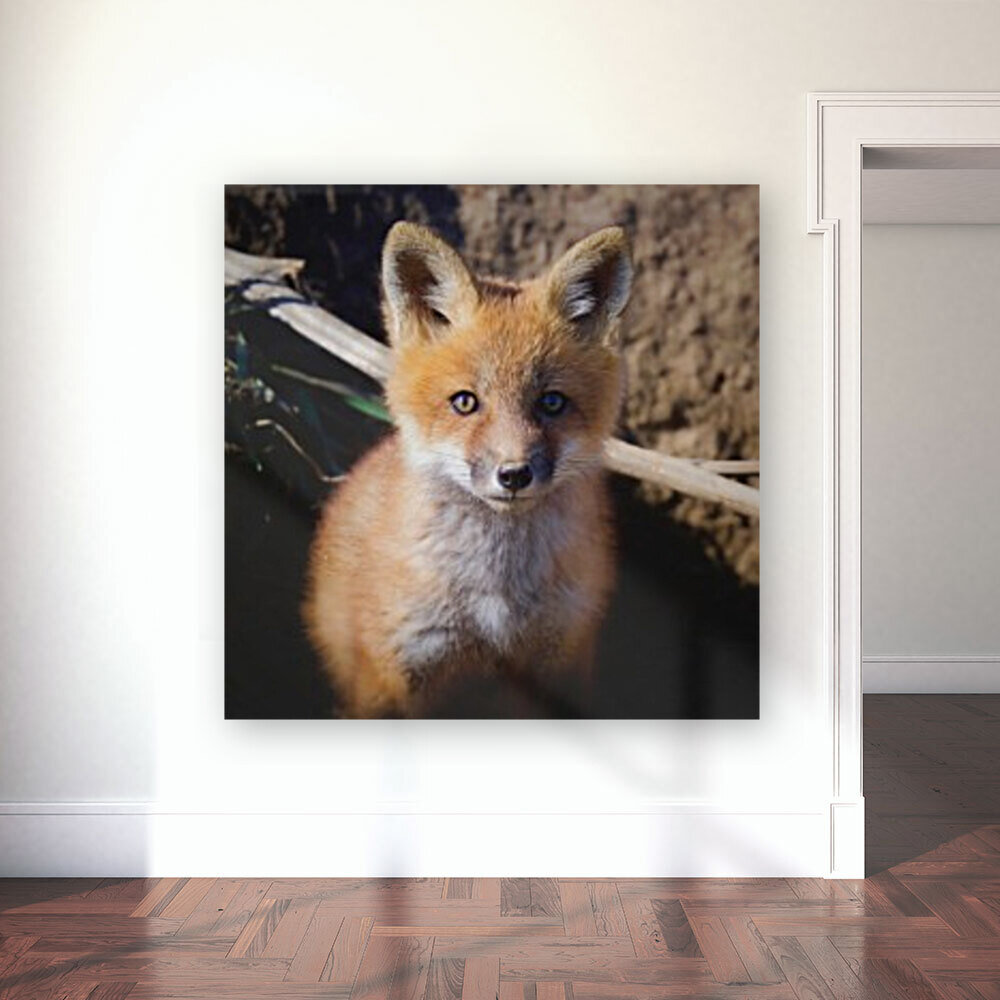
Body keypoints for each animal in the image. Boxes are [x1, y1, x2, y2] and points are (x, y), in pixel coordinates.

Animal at [303, 221, 632, 718]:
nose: (513, 474)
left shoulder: (557, 663)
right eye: (465, 402)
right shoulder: (399, 669)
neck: (496, 601)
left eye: (552, 403)